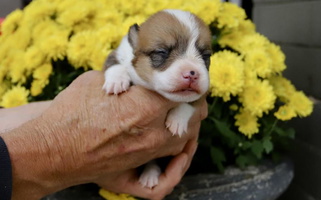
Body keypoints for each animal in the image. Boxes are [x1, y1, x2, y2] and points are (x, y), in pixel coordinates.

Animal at [102, 9, 211, 188]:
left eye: (205, 55)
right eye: (162, 52)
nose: (192, 74)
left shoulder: (201, 94)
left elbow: (188, 102)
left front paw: (177, 120)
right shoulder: (117, 54)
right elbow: (115, 64)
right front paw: (116, 81)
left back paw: (150, 175)